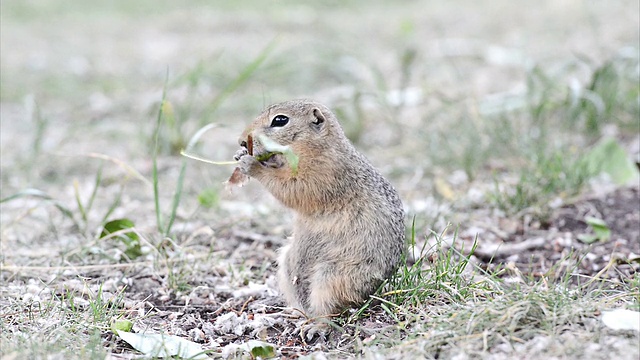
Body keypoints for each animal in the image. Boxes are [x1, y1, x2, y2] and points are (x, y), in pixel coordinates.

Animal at [234, 99, 404, 318]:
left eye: (280, 120)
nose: (241, 141)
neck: (316, 145)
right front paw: (241, 155)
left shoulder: (323, 171)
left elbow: (292, 187)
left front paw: (251, 164)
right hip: (287, 264)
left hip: (332, 276)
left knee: (331, 308)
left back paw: (318, 322)